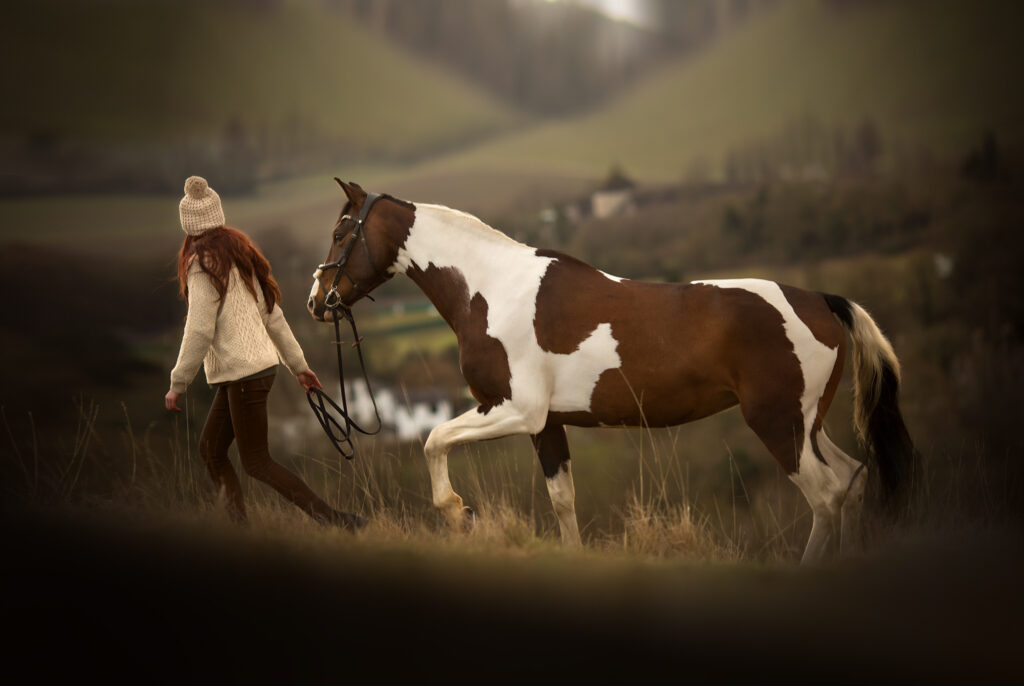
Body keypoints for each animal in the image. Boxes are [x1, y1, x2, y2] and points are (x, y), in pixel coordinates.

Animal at [307, 179, 916, 563]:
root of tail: (820, 301)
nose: (317, 301)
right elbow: (563, 500)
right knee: (852, 479)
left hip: (779, 424)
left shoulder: (516, 411)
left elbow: (433, 439)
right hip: (808, 424)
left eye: (341, 232)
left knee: (827, 496)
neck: (490, 288)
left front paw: (459, 515)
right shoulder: (547, 425)